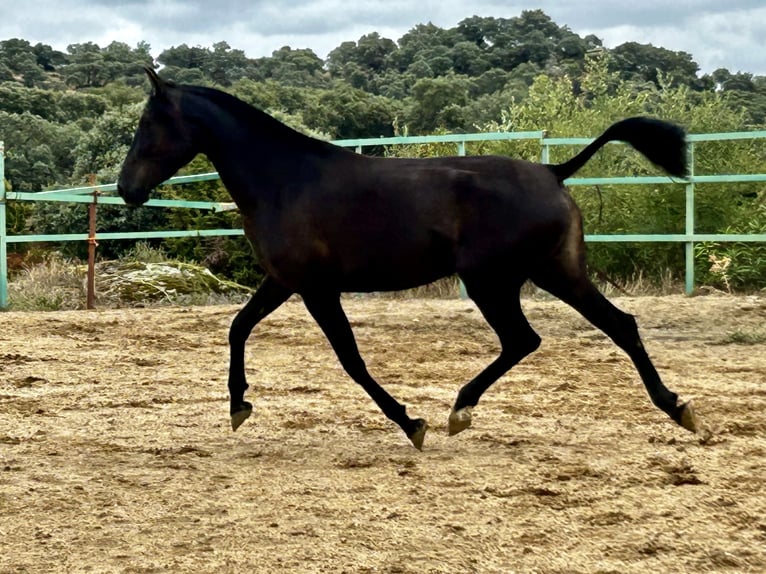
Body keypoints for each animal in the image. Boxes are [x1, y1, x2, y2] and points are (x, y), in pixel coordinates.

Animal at [117, 67, 700, 452]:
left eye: (147, 124)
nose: (126, 190)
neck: (285, 179)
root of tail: (555, 171)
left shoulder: (316, 289)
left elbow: (351, 360)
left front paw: (410, 423)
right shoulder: (284, 281)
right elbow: (238, 327)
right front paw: (239, 407)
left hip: (492, 281)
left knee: (525, 339)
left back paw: (459, 411)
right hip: (557, 272)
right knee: (618, 326)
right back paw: (678, 408)